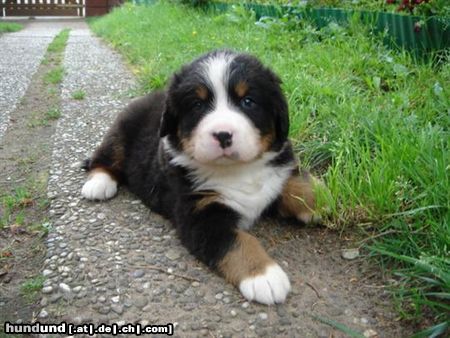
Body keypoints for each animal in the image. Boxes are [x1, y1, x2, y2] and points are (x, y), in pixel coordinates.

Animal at [82, 50, 318, 306]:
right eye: (197, 105)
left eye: (248, 101)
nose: (223, 135)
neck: (237, 170)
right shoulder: (200, 214)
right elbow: (238, 242)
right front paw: (264, 275)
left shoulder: (278, 170)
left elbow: (298, 184)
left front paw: (322, 200)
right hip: (120, 132)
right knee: (104, 158)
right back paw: (98, 184)